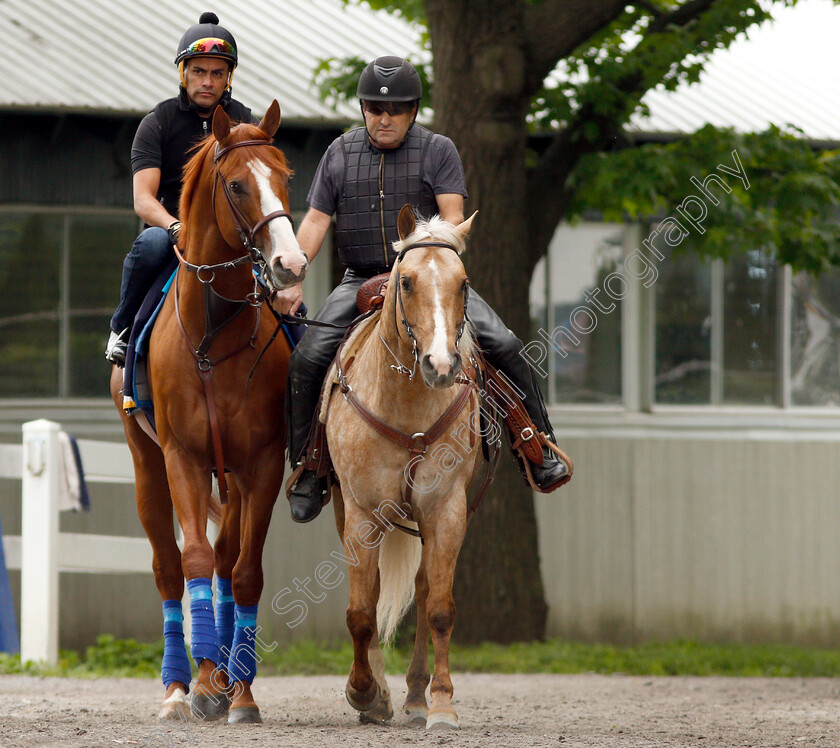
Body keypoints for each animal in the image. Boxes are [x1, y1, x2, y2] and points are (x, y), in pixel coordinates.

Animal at [109, 101, 308, 724]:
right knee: (168, 566)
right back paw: (179, 685)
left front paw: (238, 692)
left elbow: (244, 572)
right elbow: (192, 559)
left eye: (285, 178)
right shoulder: (185, 459)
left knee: (226, 561)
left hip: (236, 479)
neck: (213, 334)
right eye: (238, 184)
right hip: (147, 464)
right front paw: (196, 685)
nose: (291, 263)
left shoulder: (262, 463)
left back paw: (221, 677)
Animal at [330, 205, 486, 732]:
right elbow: (361, 610)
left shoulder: (445, 509)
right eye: (408, 282)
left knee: (421, 589)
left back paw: (416, 696)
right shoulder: (362, 513)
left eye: (463, 283)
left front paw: (441, 703)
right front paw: (364, 693)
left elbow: (439, 608)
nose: (440, 365)